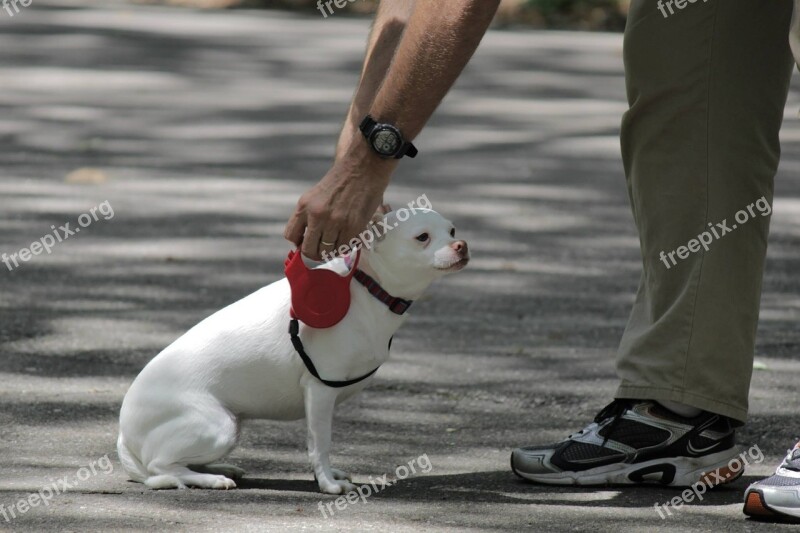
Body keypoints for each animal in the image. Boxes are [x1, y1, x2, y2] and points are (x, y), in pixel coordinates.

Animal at [118, 208, 468, 494]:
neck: (368, 286)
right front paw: (327, 484)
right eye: (422, 237)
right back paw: (211, 479)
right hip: (219, 427)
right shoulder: (320, 391)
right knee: (161, 466)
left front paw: (328, 476)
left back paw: (218, 468)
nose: (461, 245)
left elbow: (320, 442)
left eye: (452, 230)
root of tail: (123, 434)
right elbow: (320, 444)